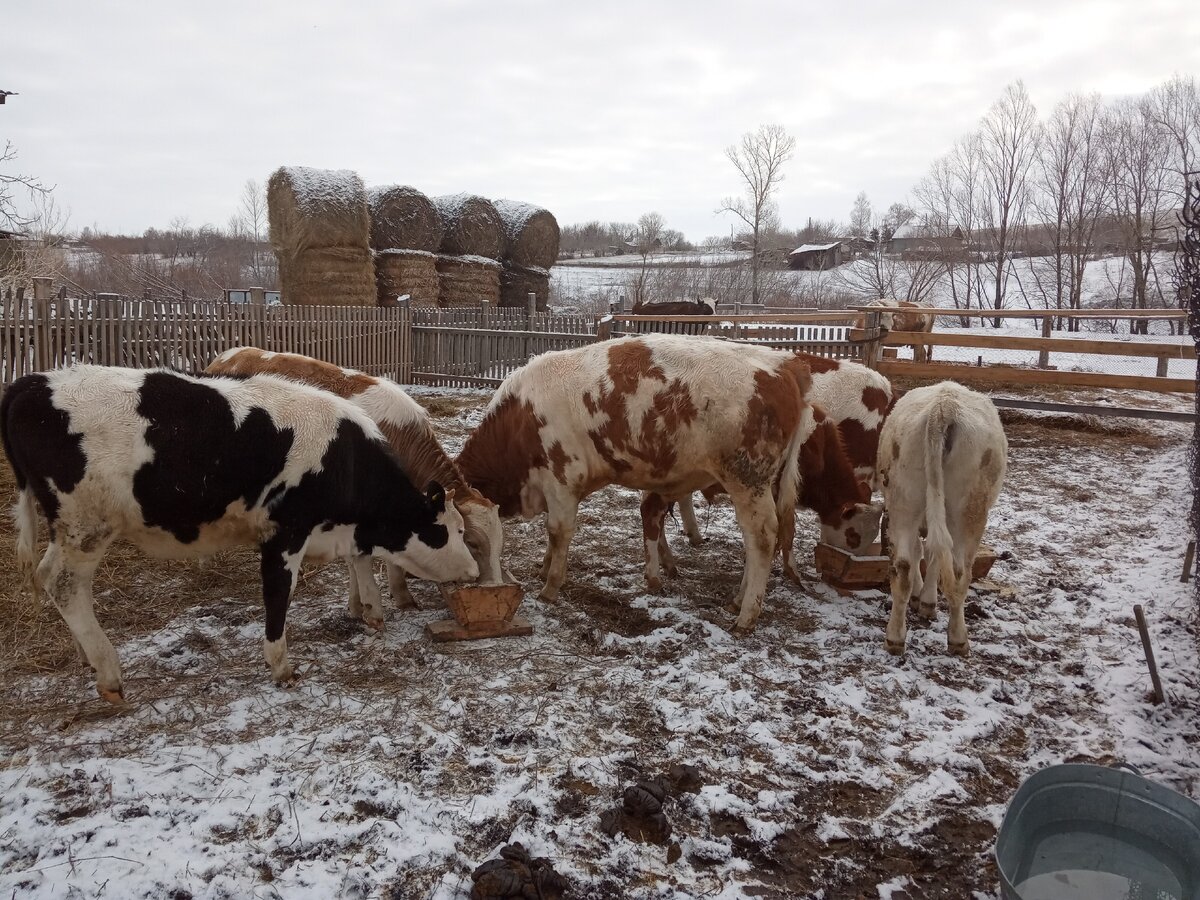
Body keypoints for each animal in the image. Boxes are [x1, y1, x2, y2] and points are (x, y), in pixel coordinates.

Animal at [453, 333, 811, 633]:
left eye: (467, 539)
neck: (521, 415)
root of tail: (786, 366)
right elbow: (552, 534)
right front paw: (544, 567)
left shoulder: (562, 478)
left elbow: (558, 530)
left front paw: (550, 585)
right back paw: (738, 600)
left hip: (747, 481)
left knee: (762, 537)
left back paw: (746, 615)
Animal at [878, 381, 1008, 657]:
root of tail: (944, 407)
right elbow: (933, 556)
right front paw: (927, 601)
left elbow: (923, 552)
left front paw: (921, 598)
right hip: (969, 512)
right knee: (958, 572)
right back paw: (958, 639)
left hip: (905, 499)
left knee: (904, 566)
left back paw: (895, 637)